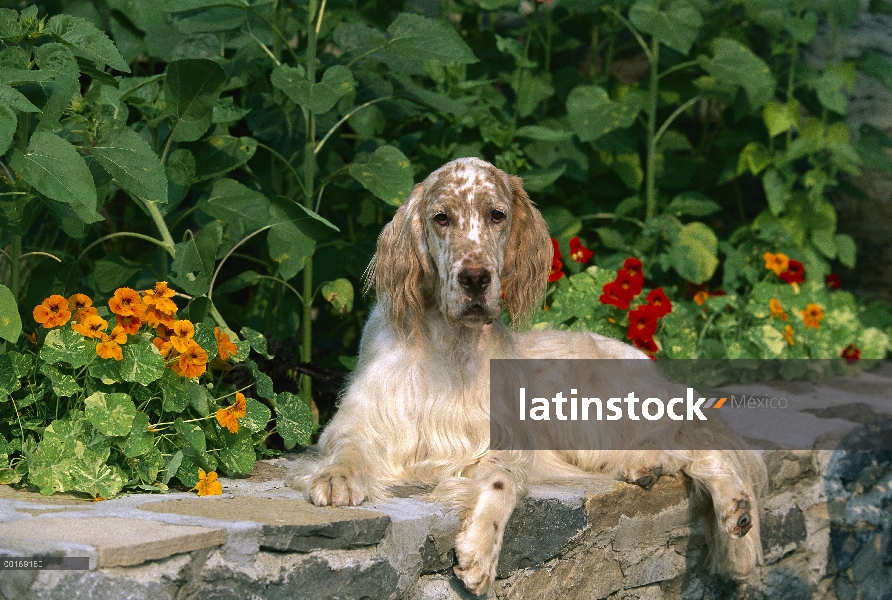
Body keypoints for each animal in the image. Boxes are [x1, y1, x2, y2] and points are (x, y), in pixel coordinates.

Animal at [308, 157, 768, 592]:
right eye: (441, 217)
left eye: (496, 214)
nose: (475, 279)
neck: (452, 345)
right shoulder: (363, 419)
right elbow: (349, 448)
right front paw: (337, 478)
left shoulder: (503, 439)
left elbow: (501, 480)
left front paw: (481, 551)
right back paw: (651, 468)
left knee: (703, 446)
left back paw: (736, 511)